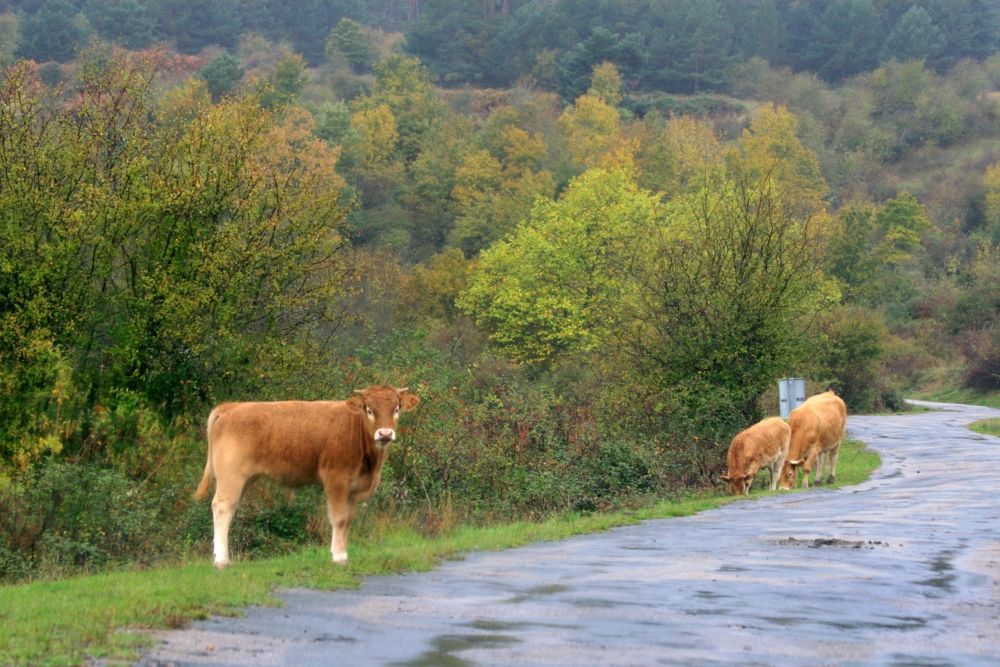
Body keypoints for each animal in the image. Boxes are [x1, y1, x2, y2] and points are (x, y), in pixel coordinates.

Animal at [195, 386, 418, 568]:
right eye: (369, 410)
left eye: (396, 409)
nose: (385, 433)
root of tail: (232, 407)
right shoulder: (336, 479)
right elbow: (338, 518)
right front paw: (338, 556)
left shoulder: (353, 490)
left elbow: (348, 520)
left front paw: (343, 553)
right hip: (231, 475)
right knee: (222, 507)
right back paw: (221, 560)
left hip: (245, 478)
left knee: (230, 508)